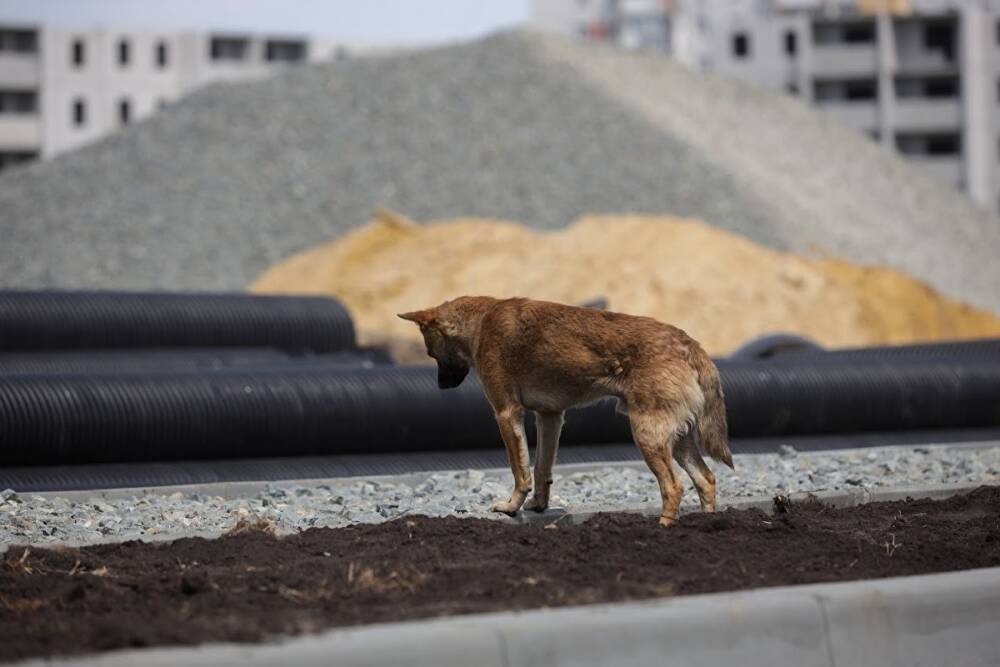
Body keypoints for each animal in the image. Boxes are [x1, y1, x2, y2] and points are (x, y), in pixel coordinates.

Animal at [398, 298, 736, 528]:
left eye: (431, 353)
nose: (441, 386)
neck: (480, 321)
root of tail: (688, 342)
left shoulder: (507, 413)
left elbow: (520, 471)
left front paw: (511, 507)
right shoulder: (549, 416)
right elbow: (541, 468)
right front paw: (538, 504)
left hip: (648, 436)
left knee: (674, 486)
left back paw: (663, 527)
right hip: (677, 439)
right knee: (706, 479)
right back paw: (707, 523)